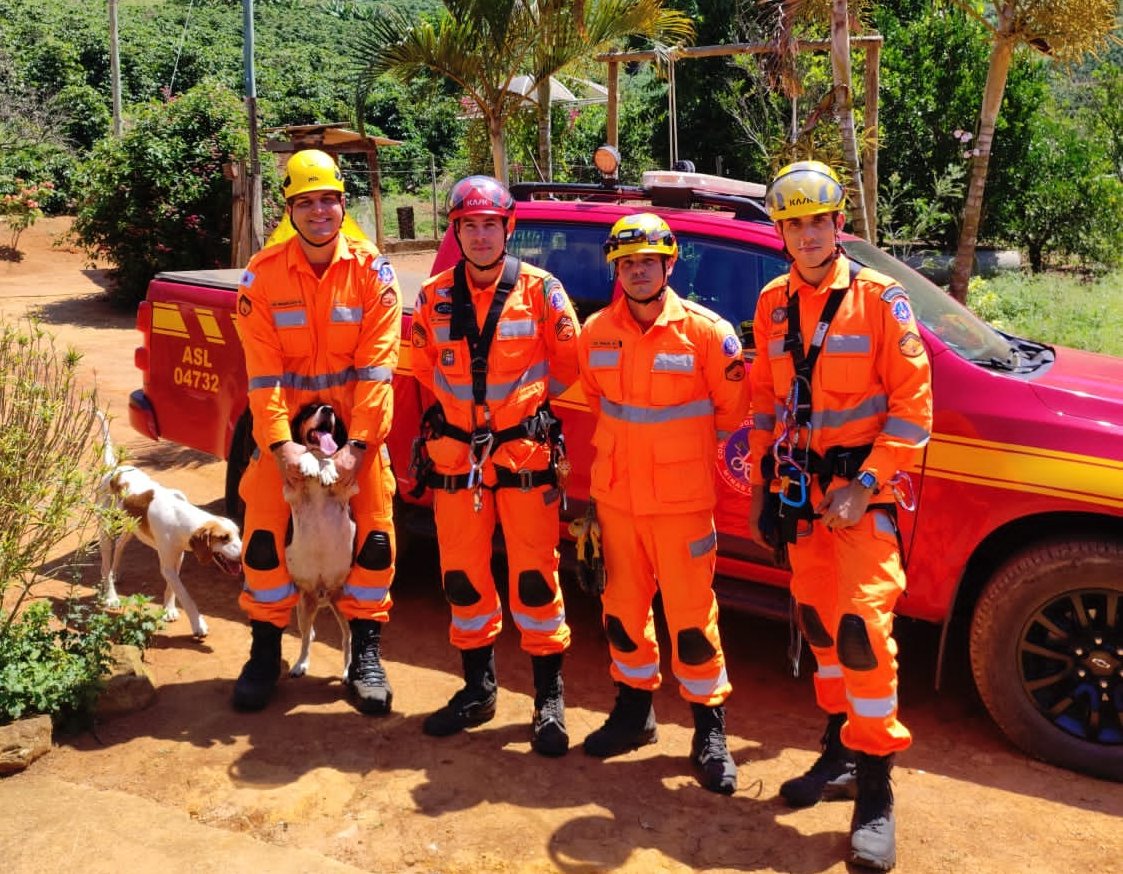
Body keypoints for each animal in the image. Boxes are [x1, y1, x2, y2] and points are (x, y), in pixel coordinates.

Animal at [96, 411, 241, 638]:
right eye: (223, 538)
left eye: (238, 534)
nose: (244, 556)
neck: (180, 516)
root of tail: (114, 469)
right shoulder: (167, 563)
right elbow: (185, 595)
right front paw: (198, 624)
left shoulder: (178, 557)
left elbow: (172, 588)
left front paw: (169, 609)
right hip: (106, 530)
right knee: (104, 565)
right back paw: (111, 595)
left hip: (131, 529)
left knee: (118, 547)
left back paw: (115, 572)